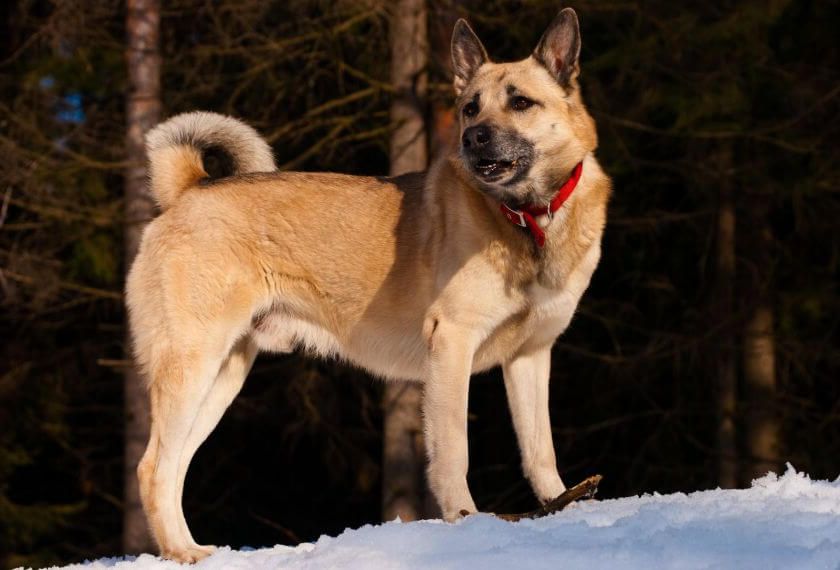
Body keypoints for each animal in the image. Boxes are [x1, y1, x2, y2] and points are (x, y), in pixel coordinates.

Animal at [126, 6, 612, 560]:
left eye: (521, 103)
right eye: (470, 108)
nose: (473, 138)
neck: (527, 218)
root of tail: (187, 189)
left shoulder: (531, 356)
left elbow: (539, 449)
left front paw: (564, 507)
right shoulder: (452, 342)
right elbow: (453, 451)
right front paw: (466, 522)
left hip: (224, 373)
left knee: (174, 468)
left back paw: (188, 547)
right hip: (192, 362)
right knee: (153, 467)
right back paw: (182, 551)